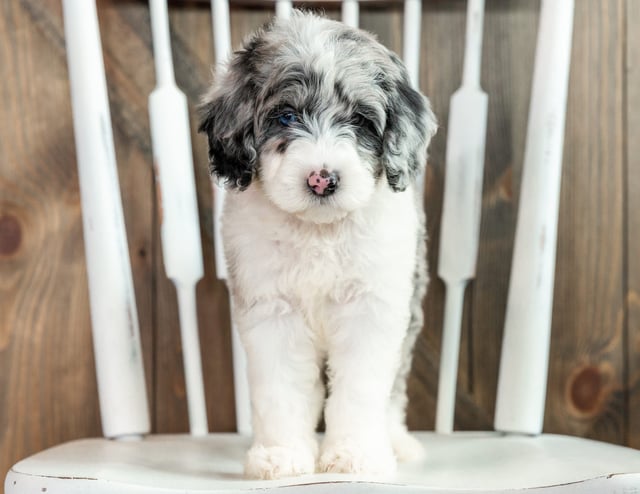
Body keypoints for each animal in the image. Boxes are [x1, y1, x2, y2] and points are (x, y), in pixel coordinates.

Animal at [199, 11, 436, 480]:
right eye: (286, 117)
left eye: (361, 121)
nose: (322, 178)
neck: (318, 232)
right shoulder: (273, 310)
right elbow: (282, 389)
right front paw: (281, 455)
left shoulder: (371, 309)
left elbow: (362, 389)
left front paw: (356, 456)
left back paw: (396, 442)